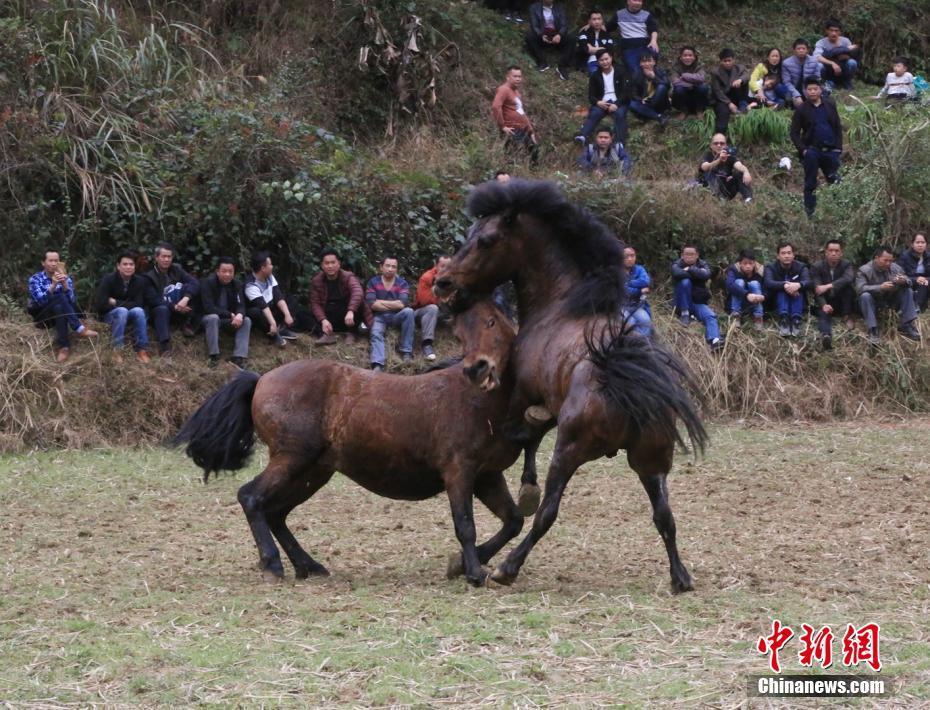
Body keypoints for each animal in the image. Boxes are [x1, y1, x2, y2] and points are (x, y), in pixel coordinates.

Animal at [171, 300, 524, 588]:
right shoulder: (459, 472)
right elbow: (465, 525)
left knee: (276, 512)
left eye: (495, 323)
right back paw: (272, 564)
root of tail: (261, 379)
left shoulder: (487, 476)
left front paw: (468, 564)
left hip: (312, 472)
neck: (477, 400)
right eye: (464, 330)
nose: (479, 368)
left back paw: (308, 565)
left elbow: (514, 520)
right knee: (251, 497)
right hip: (291, 459)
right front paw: (473, 571)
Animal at [434, 179, 704, 596]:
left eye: (486, 241)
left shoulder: (525, 393)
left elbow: (525, 435)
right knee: (664, 515)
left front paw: (526, 486)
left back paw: (504, 566)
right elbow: (530, 433)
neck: (562, 301)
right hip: (651, 459)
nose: (443, 282)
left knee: (548, 511)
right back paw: (681, 577)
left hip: (571, 450)